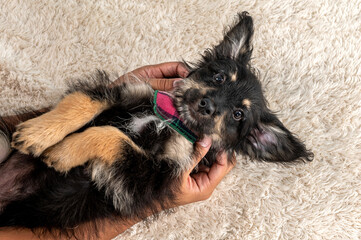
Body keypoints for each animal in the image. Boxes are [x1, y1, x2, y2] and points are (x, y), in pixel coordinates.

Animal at [0, 12, 310, 235]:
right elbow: (85, 102)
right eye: (219, 77)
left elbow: (115, 138)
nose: (207, 105)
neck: (172, 119)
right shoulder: (128, 93)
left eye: (238, 115)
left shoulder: (146, 179)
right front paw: (38, 133)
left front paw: (64, 151)